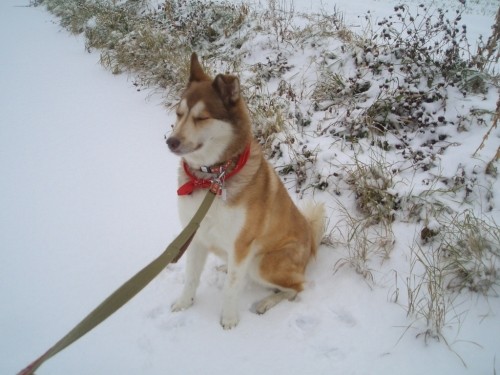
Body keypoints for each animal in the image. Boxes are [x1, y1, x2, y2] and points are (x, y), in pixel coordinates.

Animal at [166, 53, 326, 328]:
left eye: (201, 117)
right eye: (179, 113)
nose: (170, 141)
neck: (211, 178)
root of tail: (311, 245)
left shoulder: (241, 244)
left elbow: (232, 287)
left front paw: (229, 320)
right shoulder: (196, 237)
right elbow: (191, 278)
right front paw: (184, 304)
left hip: (263, 263)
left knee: (296, 288)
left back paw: (266, 302)